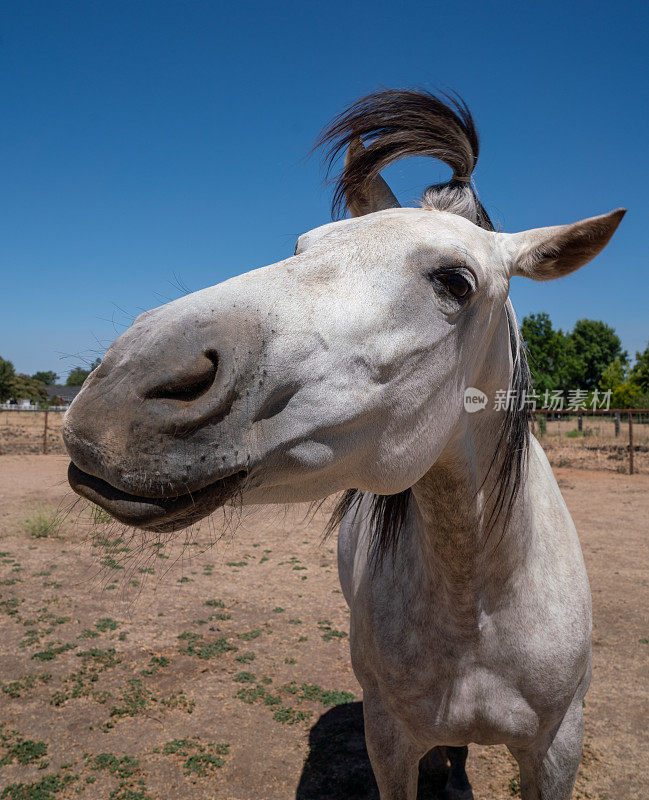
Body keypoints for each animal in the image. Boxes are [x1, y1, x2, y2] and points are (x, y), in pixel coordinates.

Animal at [64, 89, 624, 800]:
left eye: (455, 282)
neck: (478, 598)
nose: (120, 388)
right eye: (303, 245)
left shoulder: (555, 749)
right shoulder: (389, 739)